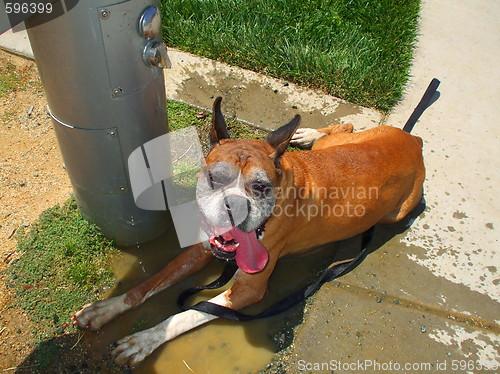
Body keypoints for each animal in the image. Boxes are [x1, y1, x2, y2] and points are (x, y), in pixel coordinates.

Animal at [73, 95, 426, 366]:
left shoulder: (248, 290)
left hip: (396, 212)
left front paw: (143, 341)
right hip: (340, 143)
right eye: (215, 178)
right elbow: (148, 284)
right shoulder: (199, 250)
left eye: (260, 186)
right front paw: (107, 308)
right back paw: (305, 134)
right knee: (343, 127)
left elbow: (189, 313)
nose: (233, 205)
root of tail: (413, 140)